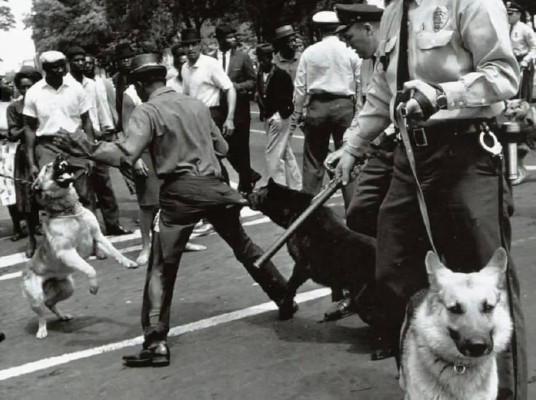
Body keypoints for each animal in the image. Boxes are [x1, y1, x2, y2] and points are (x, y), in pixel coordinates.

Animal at [21, 156, 137, 338]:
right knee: (41, 315)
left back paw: (62, 316)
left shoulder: (98, 237)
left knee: (50, 303)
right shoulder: (67, 252)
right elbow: (90, 269)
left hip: (67, 288)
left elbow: (115, 252)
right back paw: (42, 330)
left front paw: (128, 262)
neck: (69, 210)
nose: (60, 157)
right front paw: (94, 286)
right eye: (47, 168)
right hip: (36, 297)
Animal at [248, 180, 376, 320]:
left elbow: (290, 286)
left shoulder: (301, 266)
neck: (294, 209)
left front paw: (285, 310)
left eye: (259, 191)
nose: (246, 194)